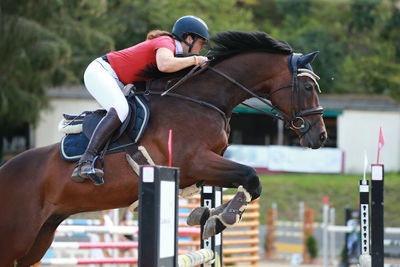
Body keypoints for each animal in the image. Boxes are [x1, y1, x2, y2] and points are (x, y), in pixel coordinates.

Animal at [0, 30, 324, 266]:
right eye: (308, 88)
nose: (320, 137)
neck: (201, 100)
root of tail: (6, 170)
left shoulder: (201, 170)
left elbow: (245, 183)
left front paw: (209, 216)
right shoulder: (195, 162)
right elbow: (251, 176)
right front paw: (223, 218)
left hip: (39, 239)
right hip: (16, 239)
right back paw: (85, 168)